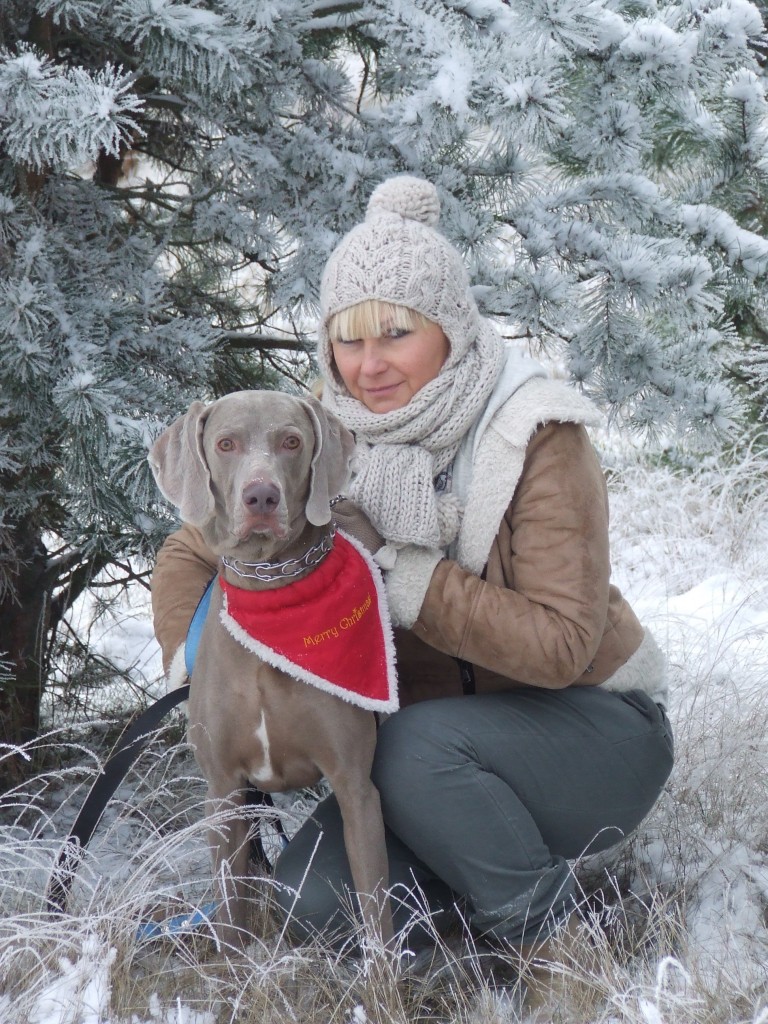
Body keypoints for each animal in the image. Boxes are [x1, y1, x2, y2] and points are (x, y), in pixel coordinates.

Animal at [148, 391, 397, 950]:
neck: (271, 596)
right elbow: (230, 913)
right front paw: (235, 968)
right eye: (225, 443)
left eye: (291, 441)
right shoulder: (223, 791)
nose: (260, 496)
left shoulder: (356, 786)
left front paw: (386, 975)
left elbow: (376, 915)